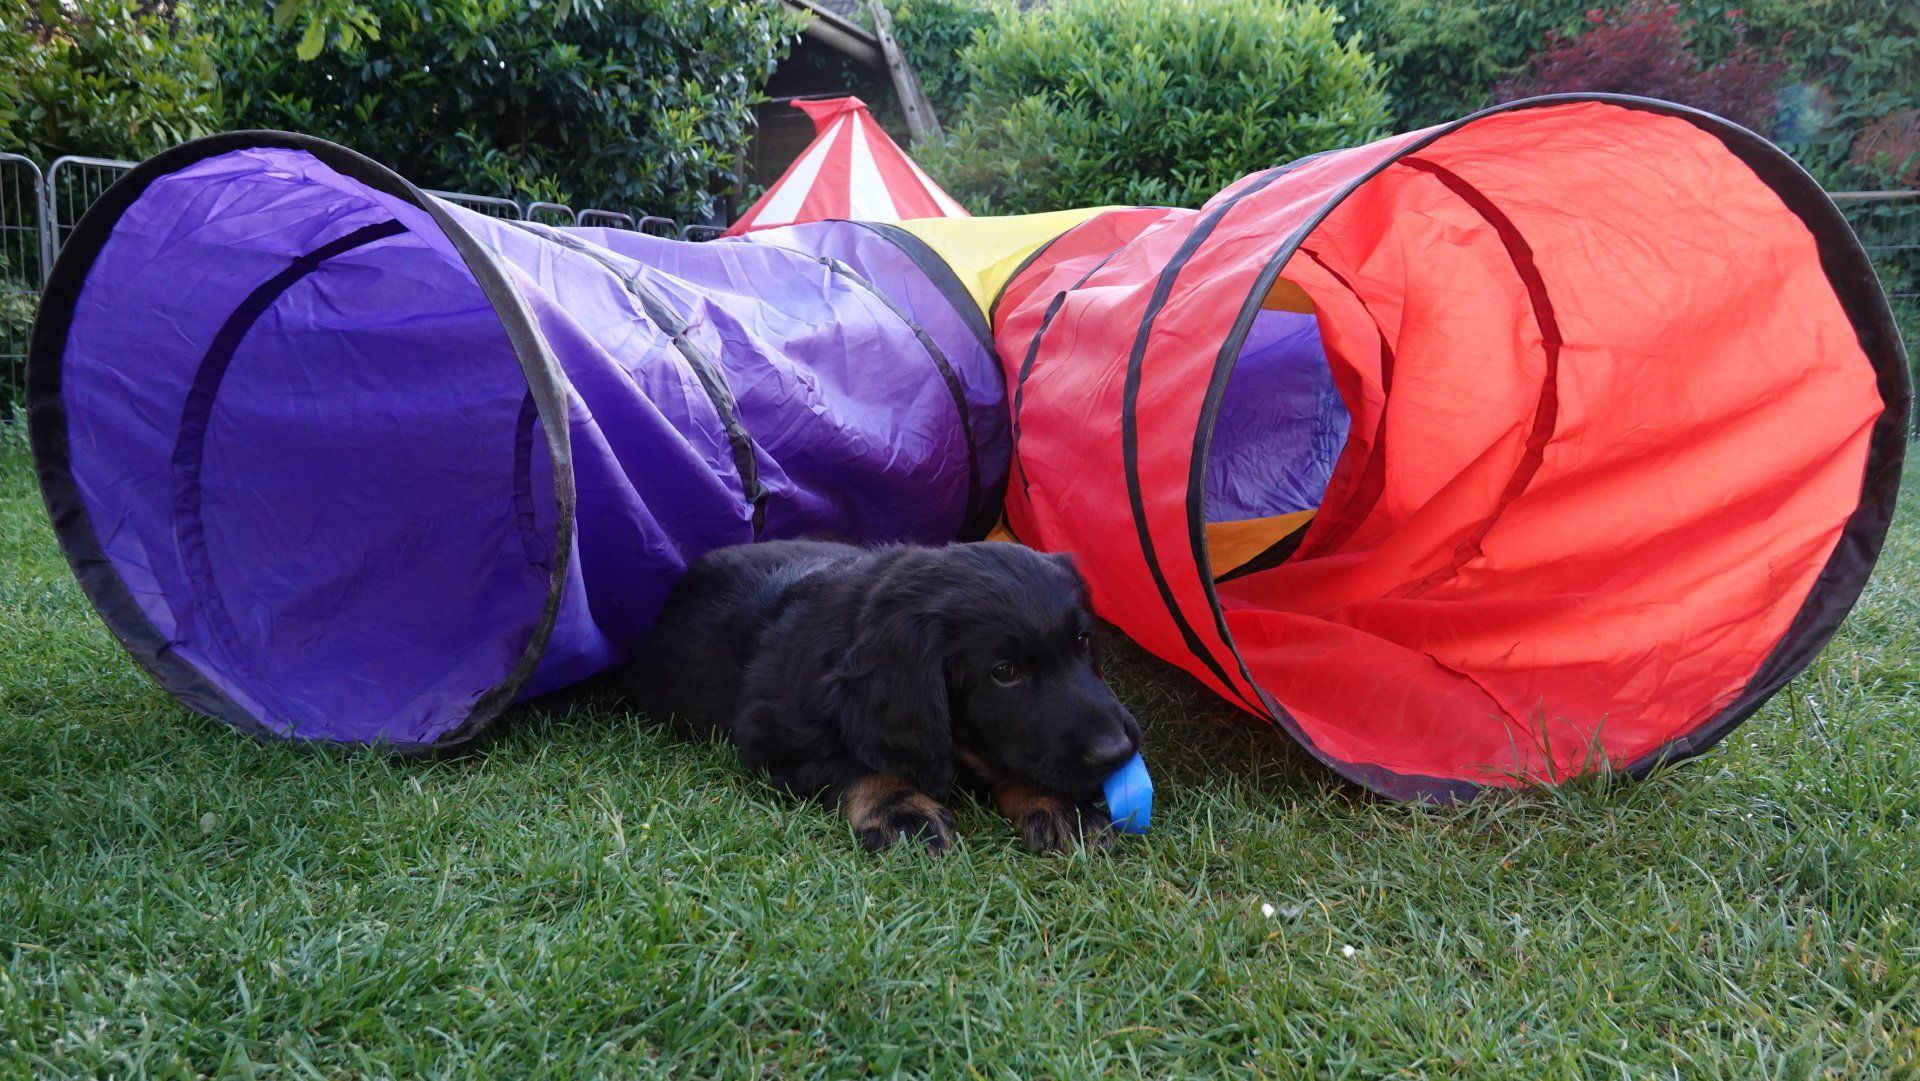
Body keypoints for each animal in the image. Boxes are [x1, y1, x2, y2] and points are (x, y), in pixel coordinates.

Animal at [625, 540, 1142, 854]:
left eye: (1083, 641)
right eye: (1004, 673)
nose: (1118, 752)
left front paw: (1057, 804)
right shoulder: (771, 734)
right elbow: (854, 764)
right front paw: (900, 808)